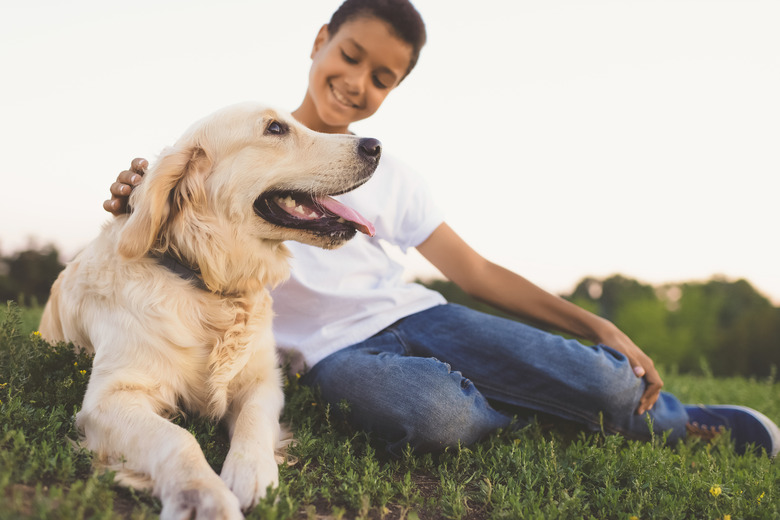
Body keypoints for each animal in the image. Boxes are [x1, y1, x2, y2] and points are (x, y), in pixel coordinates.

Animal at [39, 102, 380, 520]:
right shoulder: (110, 397)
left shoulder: (263, 381)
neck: (211, 286)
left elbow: (253, 420)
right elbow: (177, 437)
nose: (375, 145)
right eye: (275, 128)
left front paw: (254, 475)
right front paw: (204, 497)